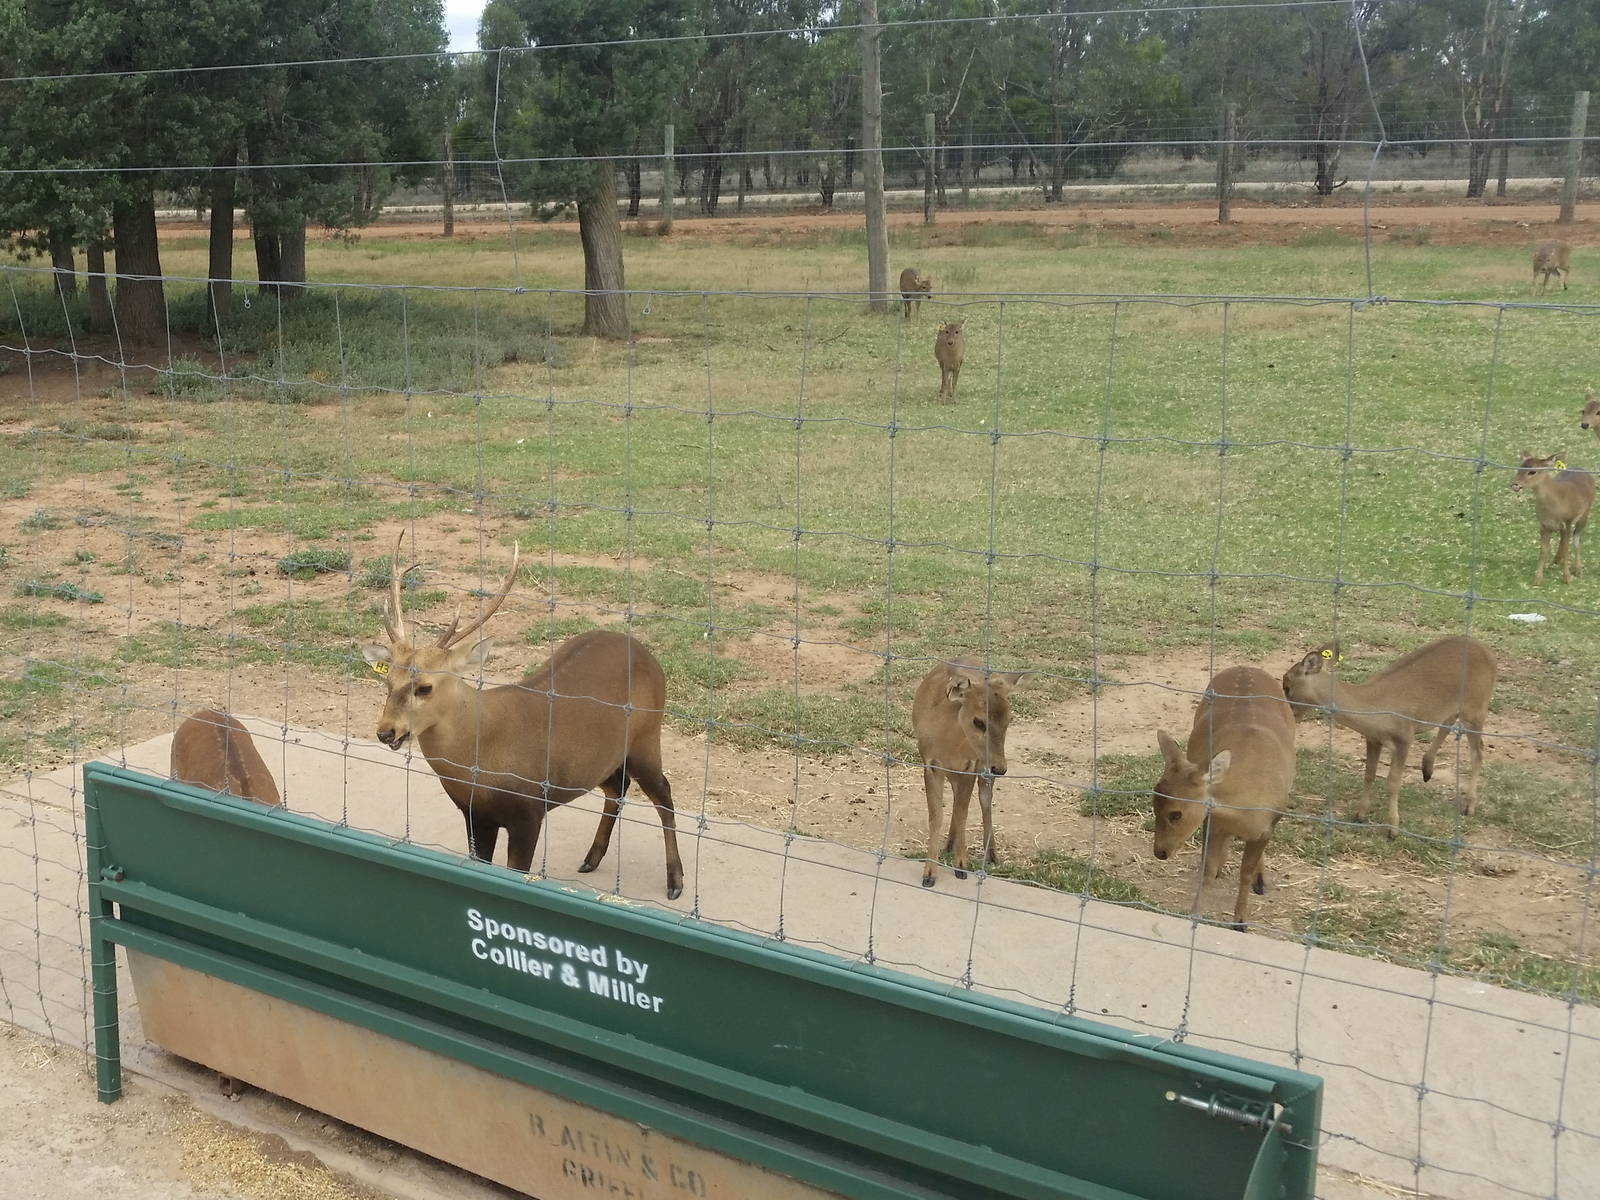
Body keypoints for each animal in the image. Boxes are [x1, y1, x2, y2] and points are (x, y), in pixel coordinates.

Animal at [361, 535, 684, 900]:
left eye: (425, 687)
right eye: (387, 681)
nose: (386, 731)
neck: (483, 758)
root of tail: (647, 655)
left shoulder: (528, 812)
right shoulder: (475, 815)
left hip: (647, 735)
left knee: (664, 794)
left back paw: (675, 882)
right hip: (599, 757)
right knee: (618, 786)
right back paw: (591, 858)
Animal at [911, 656, 1029, 888]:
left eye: (1009, 719)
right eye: (978, 721)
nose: (1000, 768)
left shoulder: (971, 765)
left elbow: (962, 813)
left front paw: (961, 867)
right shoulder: (931, 764)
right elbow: (936, 816)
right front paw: (929, 874)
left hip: (981, 770)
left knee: (984, 801)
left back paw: (991, 855)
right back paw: (949, 844)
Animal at [1151, 666, 1296, 931]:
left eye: (1176, 813)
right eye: (1153, 803)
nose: (1160, 852)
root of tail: (1244, 667)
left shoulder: (1269, 826)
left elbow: (1245, 872)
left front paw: (1240, 921)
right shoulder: (1212, 821)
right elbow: (1207, 870)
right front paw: (1194, 914)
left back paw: (1260, 881)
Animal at [1281, 637, 1496, 838]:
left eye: (1287, 685)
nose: (1289, 714)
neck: (1374, 707)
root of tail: (1488, 653)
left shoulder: (1404, 738)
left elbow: (1393, 782)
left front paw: (1393, 829)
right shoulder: (1373, 738)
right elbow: (1369, 773)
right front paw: (1359, 814)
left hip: (1477, 707)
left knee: (1478, 751)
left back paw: (1469, 806)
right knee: (1448, 723)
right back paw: (1427, 769)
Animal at [1511, 451, 1594, 585]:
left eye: (1532, 472)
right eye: (1519, 468)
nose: (1514, 484)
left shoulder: (1567, 521)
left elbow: (1567, 548)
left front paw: (1567, 578)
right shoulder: (1544, 524)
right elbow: (1543, 550)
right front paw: (1538, 579)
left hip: (1586, 512)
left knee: (1576, 539)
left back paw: (1578, 570)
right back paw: (1556, 560)